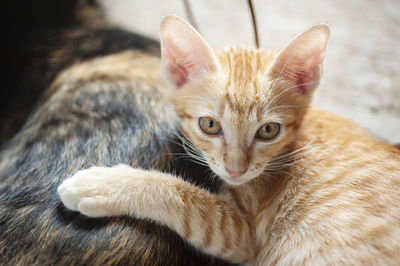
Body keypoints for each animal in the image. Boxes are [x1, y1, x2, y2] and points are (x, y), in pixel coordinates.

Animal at [57, 15, 400, 264]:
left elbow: (181, 196)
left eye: (268, 130)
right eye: (209, 125)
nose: (236, 170)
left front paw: (100, 184)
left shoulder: (242, 234)